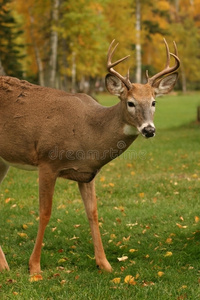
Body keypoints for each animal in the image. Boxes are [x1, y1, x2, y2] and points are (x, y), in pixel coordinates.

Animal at [0, 39, 180, 274]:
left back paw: (3, 265)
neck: (88, 131)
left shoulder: (88, 173)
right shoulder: (47, 161)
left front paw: (104, 264)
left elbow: (93, 213)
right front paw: (35, 267)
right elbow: (45, 212)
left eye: (154, 102)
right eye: (130, 102)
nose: (149, 130)